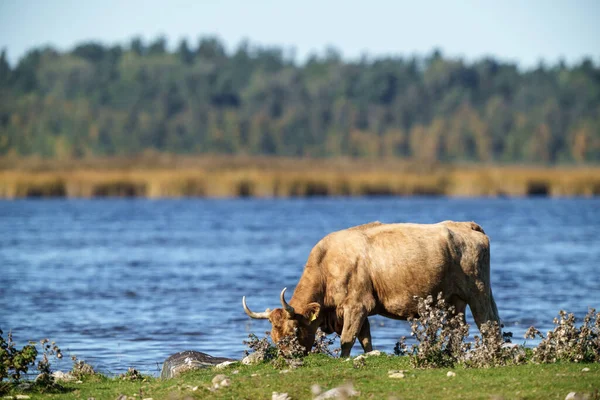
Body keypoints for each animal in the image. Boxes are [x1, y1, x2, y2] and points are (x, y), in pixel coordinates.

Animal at [241, 222, 500, 356]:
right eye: (273, 336)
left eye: (294, 330)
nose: (287, 357)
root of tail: (467, 225)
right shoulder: (359, 310)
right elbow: (365, 340)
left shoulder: (357, 305)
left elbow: (347, 339)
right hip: (455, 299)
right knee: (459, 328)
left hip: (477, 291)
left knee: (488, 323)